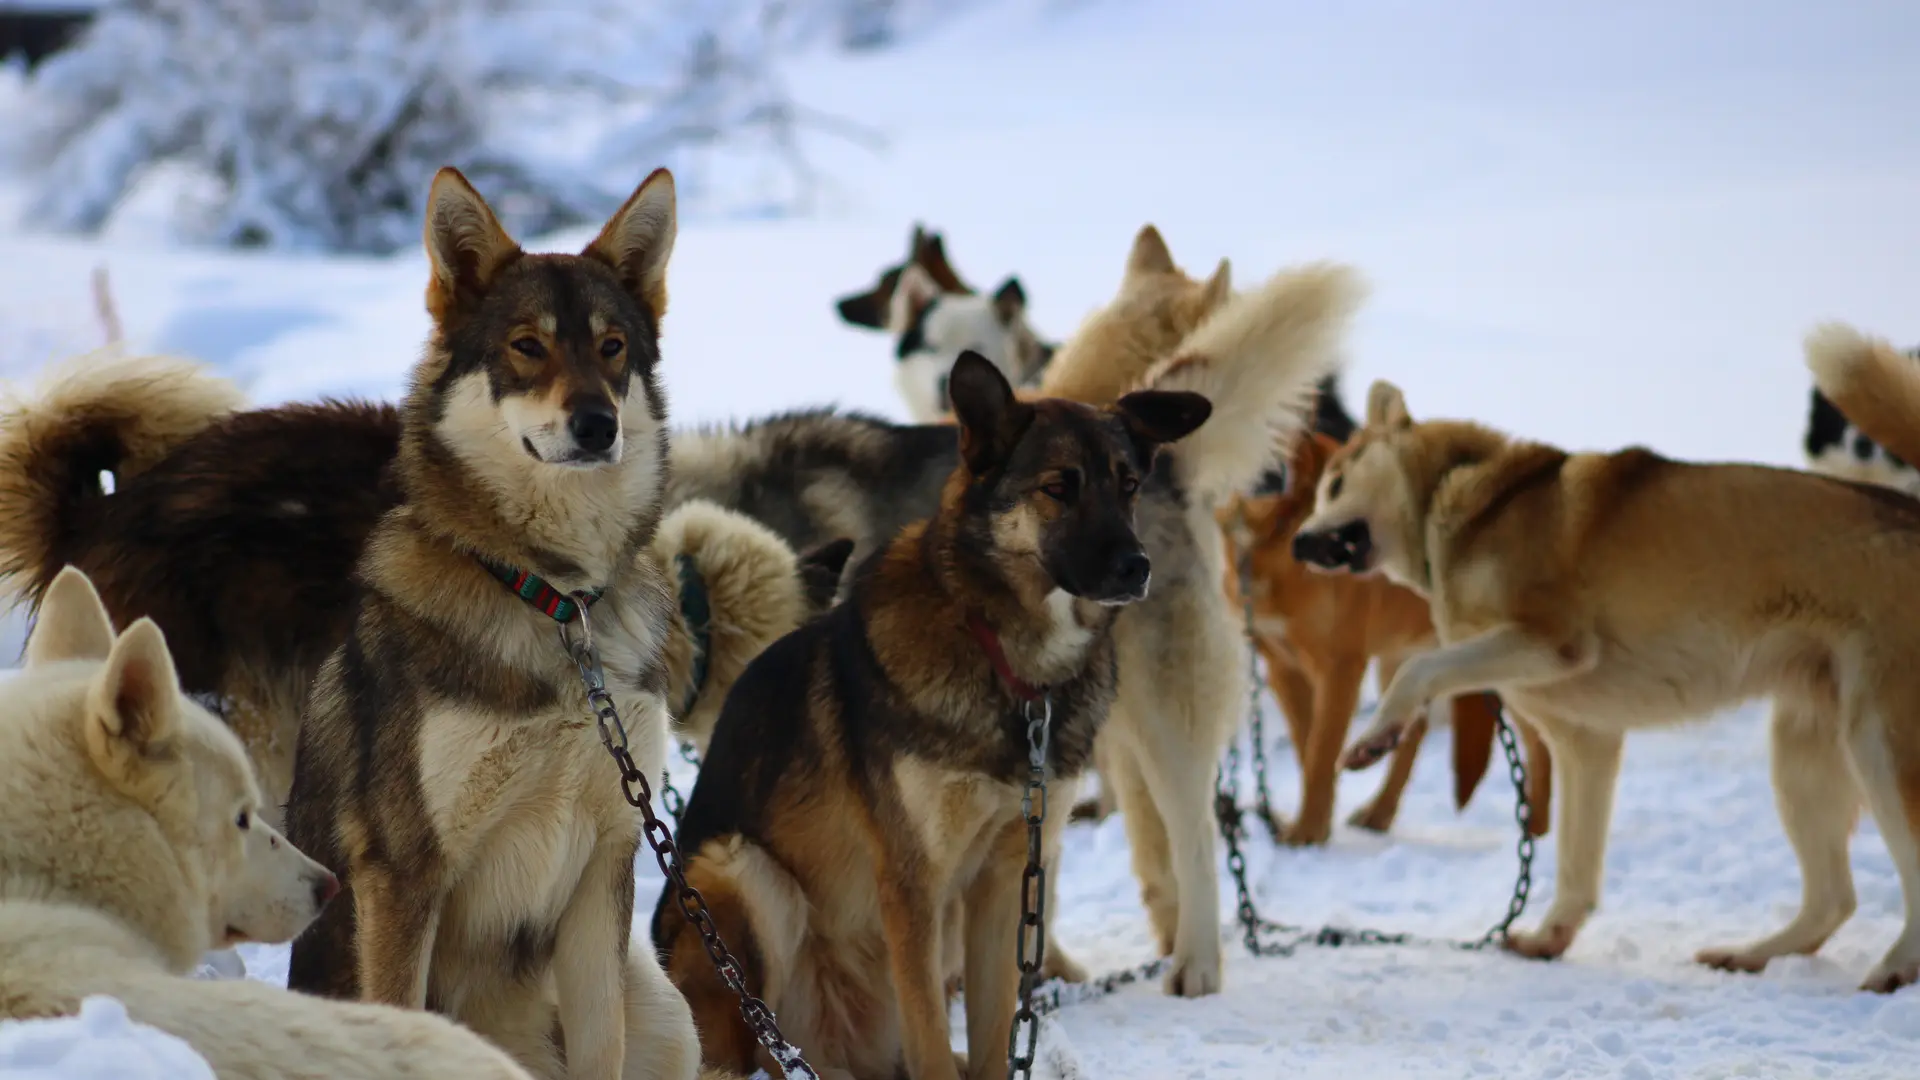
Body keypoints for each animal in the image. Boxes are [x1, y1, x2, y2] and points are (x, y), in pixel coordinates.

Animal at [278, 168, 706, 1076]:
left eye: (612, 348)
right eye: (527, 346)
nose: (597, 424)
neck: (556, 601)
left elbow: (602, 1050)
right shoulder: (404, 873)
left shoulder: (605, 864)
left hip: (665, 1011)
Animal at [652, 349, 1205, 1068]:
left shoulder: (1004, 882)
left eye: (1129, 484)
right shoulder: (913, 887)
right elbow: (936, 1051)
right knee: (764, 1051)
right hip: (740, 875)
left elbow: (994, 1041)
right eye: (1059, 486)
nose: (1138, 567)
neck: (1008, 665)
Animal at [1282, 378, 1920, 991]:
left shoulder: (1553, 643)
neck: (1460, 496)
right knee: (1833, 901)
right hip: (1801, 753)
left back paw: (1895, 967)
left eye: (1335, 483)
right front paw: (1550, 938)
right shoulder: (1584, 741)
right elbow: (1574, 863)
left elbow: (1420, 669)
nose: (1296, 543)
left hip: (1878, 745)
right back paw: (1749, 955)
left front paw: (1373, 739)